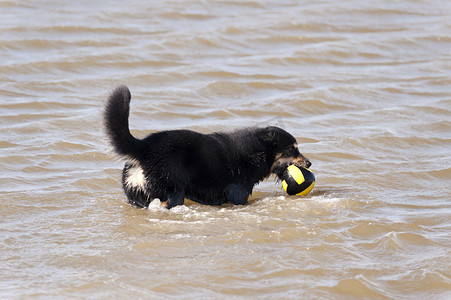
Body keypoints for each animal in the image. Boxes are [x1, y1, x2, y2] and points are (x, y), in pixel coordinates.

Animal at [104, 85, 312, 209]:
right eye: (292, 149)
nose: (309, 163)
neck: (255, 154)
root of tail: (144, 147)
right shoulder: (237, 196)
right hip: (173, 192)